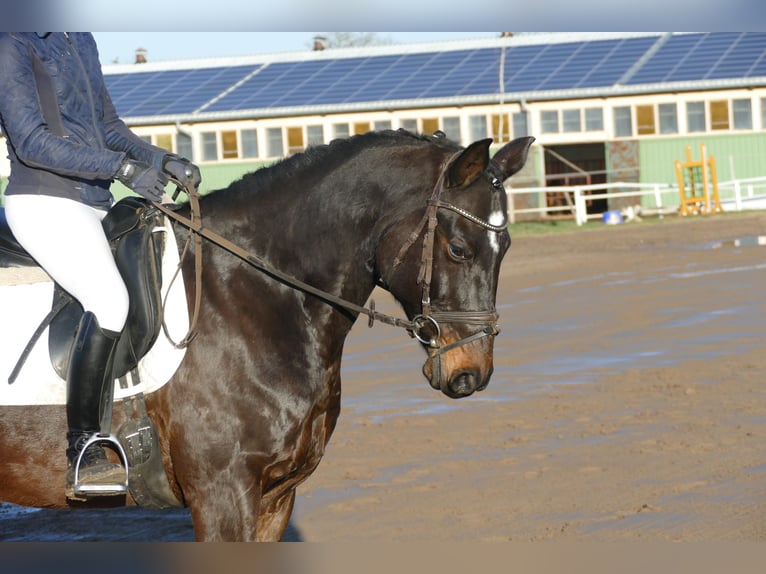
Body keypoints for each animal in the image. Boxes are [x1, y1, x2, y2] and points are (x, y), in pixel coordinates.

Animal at [0, 130, 533, 541]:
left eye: (506, 246)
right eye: (460, 248)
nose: (471, 373)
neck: (250, 294)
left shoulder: (276, 496)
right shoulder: (221, 494)